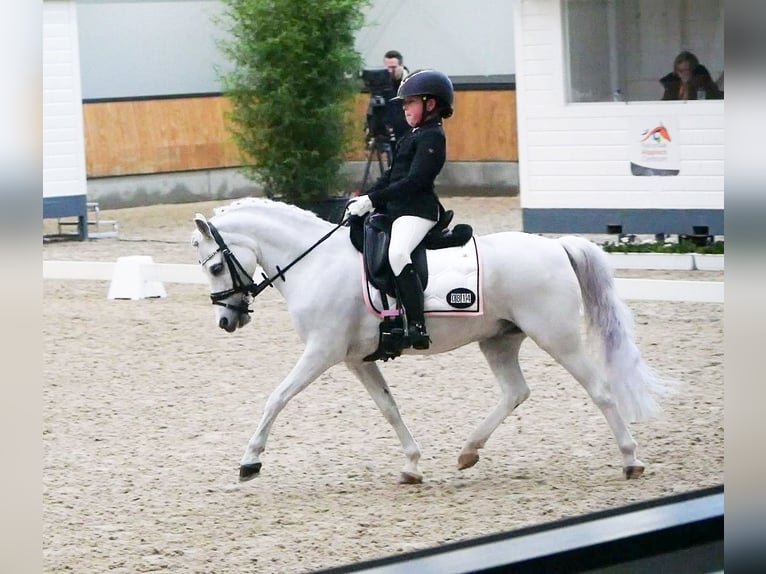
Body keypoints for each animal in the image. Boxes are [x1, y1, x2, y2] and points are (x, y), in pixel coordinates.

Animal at [191, 197, 674, 484]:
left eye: (214, 267)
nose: (227, 320)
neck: (315, 261)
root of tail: (556, 247)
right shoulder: (356, 359)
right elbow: (389, 409)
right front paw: (411, 465)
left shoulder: (321, 352)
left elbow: (277, 397)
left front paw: (250, 461)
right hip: (499, 339)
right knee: (515, 391)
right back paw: (468, 452)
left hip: (558, 336)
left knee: (601, 390)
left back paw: (631, 460)